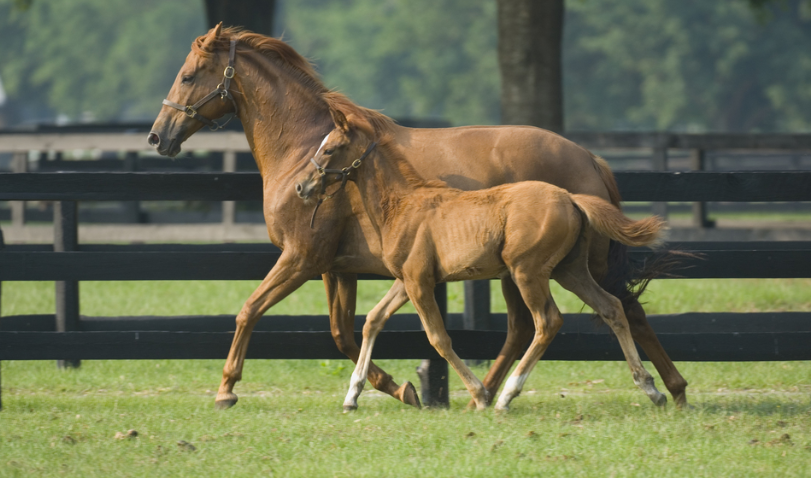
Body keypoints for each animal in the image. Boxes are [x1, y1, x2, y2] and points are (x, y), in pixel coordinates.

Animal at [296, 109, 668, 410]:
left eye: (329, 148)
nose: (301, 187)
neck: (403, 204)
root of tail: (570, 198)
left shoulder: (419, 282)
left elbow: (438, 338)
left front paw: (479, 394)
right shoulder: (407, 280)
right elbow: (373, 320)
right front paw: (351, 396)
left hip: (527, 272)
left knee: (547, 321)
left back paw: (505, 396)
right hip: (570, 270)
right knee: (612, 308)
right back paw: (652, 389)